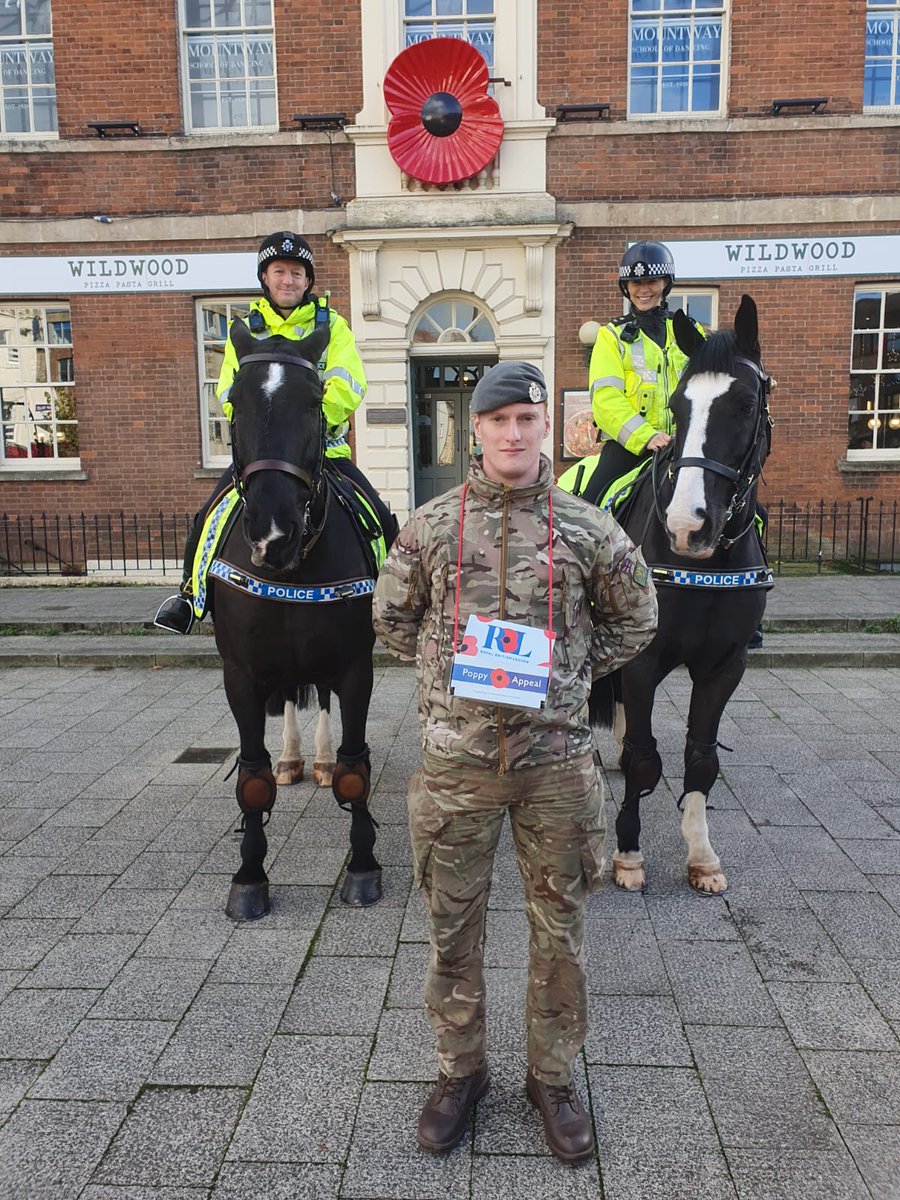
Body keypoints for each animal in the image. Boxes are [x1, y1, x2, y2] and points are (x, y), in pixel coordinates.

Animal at [592, 295, 777, 897]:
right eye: (678, 405)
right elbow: (646, 759)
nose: (686, 527)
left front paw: (701, 856)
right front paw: (628, 853)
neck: (704, 568)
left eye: (746, 403)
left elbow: (700, 759)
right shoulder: (645, 661)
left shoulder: (724, 667)